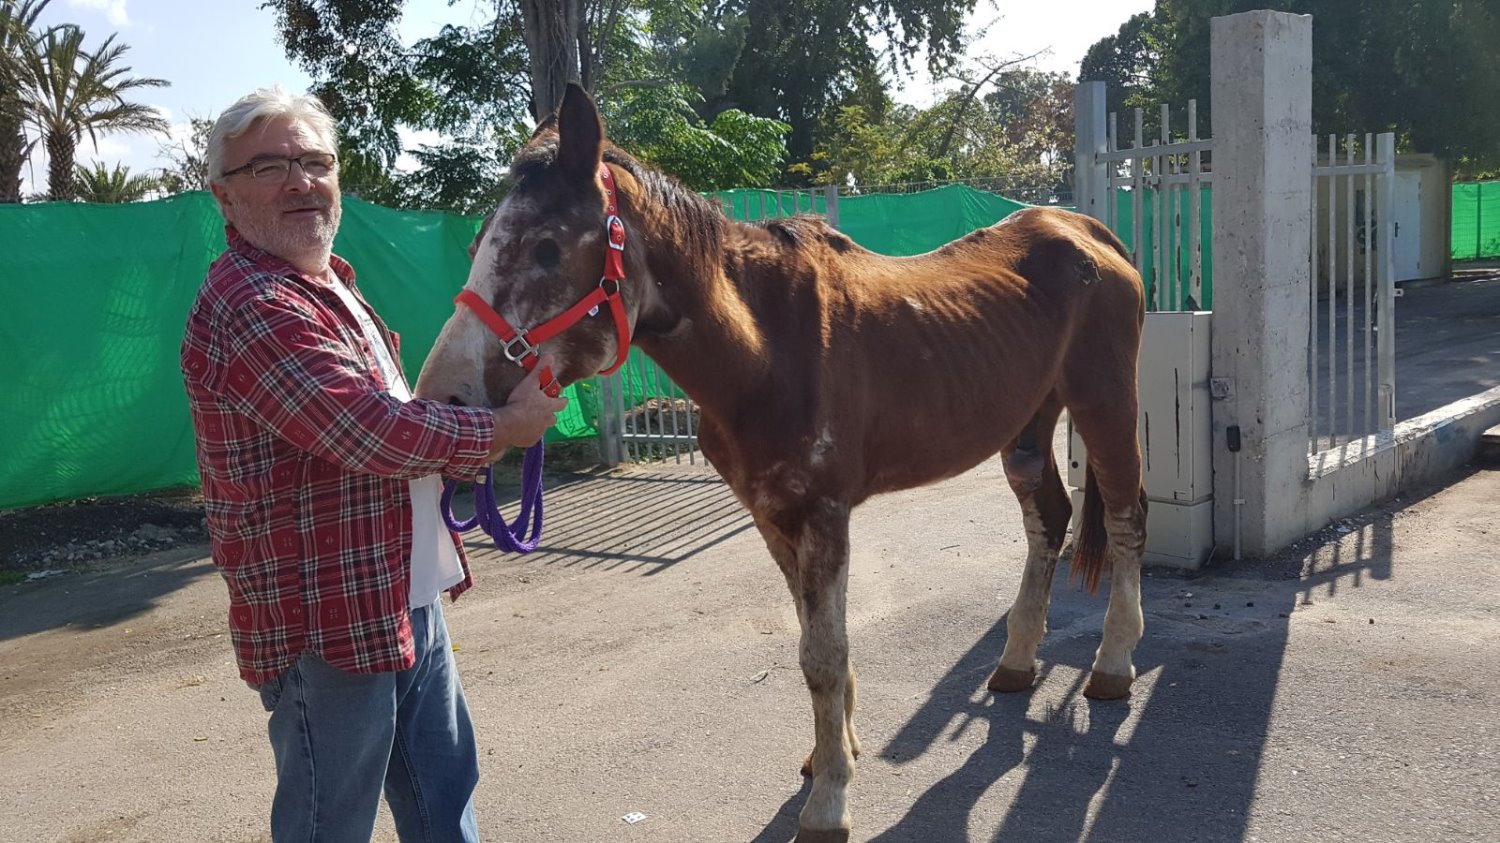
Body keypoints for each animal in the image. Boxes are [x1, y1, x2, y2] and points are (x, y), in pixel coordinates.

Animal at [417, 83, 1140, 840]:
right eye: (478, 245)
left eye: (548, 248)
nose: (444, 396)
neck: (766, 350)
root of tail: (1089, 230)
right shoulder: (772, 515)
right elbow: (811, 641)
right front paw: (829, 752)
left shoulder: (823, 514)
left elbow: (822, 652)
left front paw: (829, 799)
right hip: (1028, 427)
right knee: (1048, 518)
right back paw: (1017, 662)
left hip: (1106, 405)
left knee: (1126, 516)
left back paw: (1114, 665)